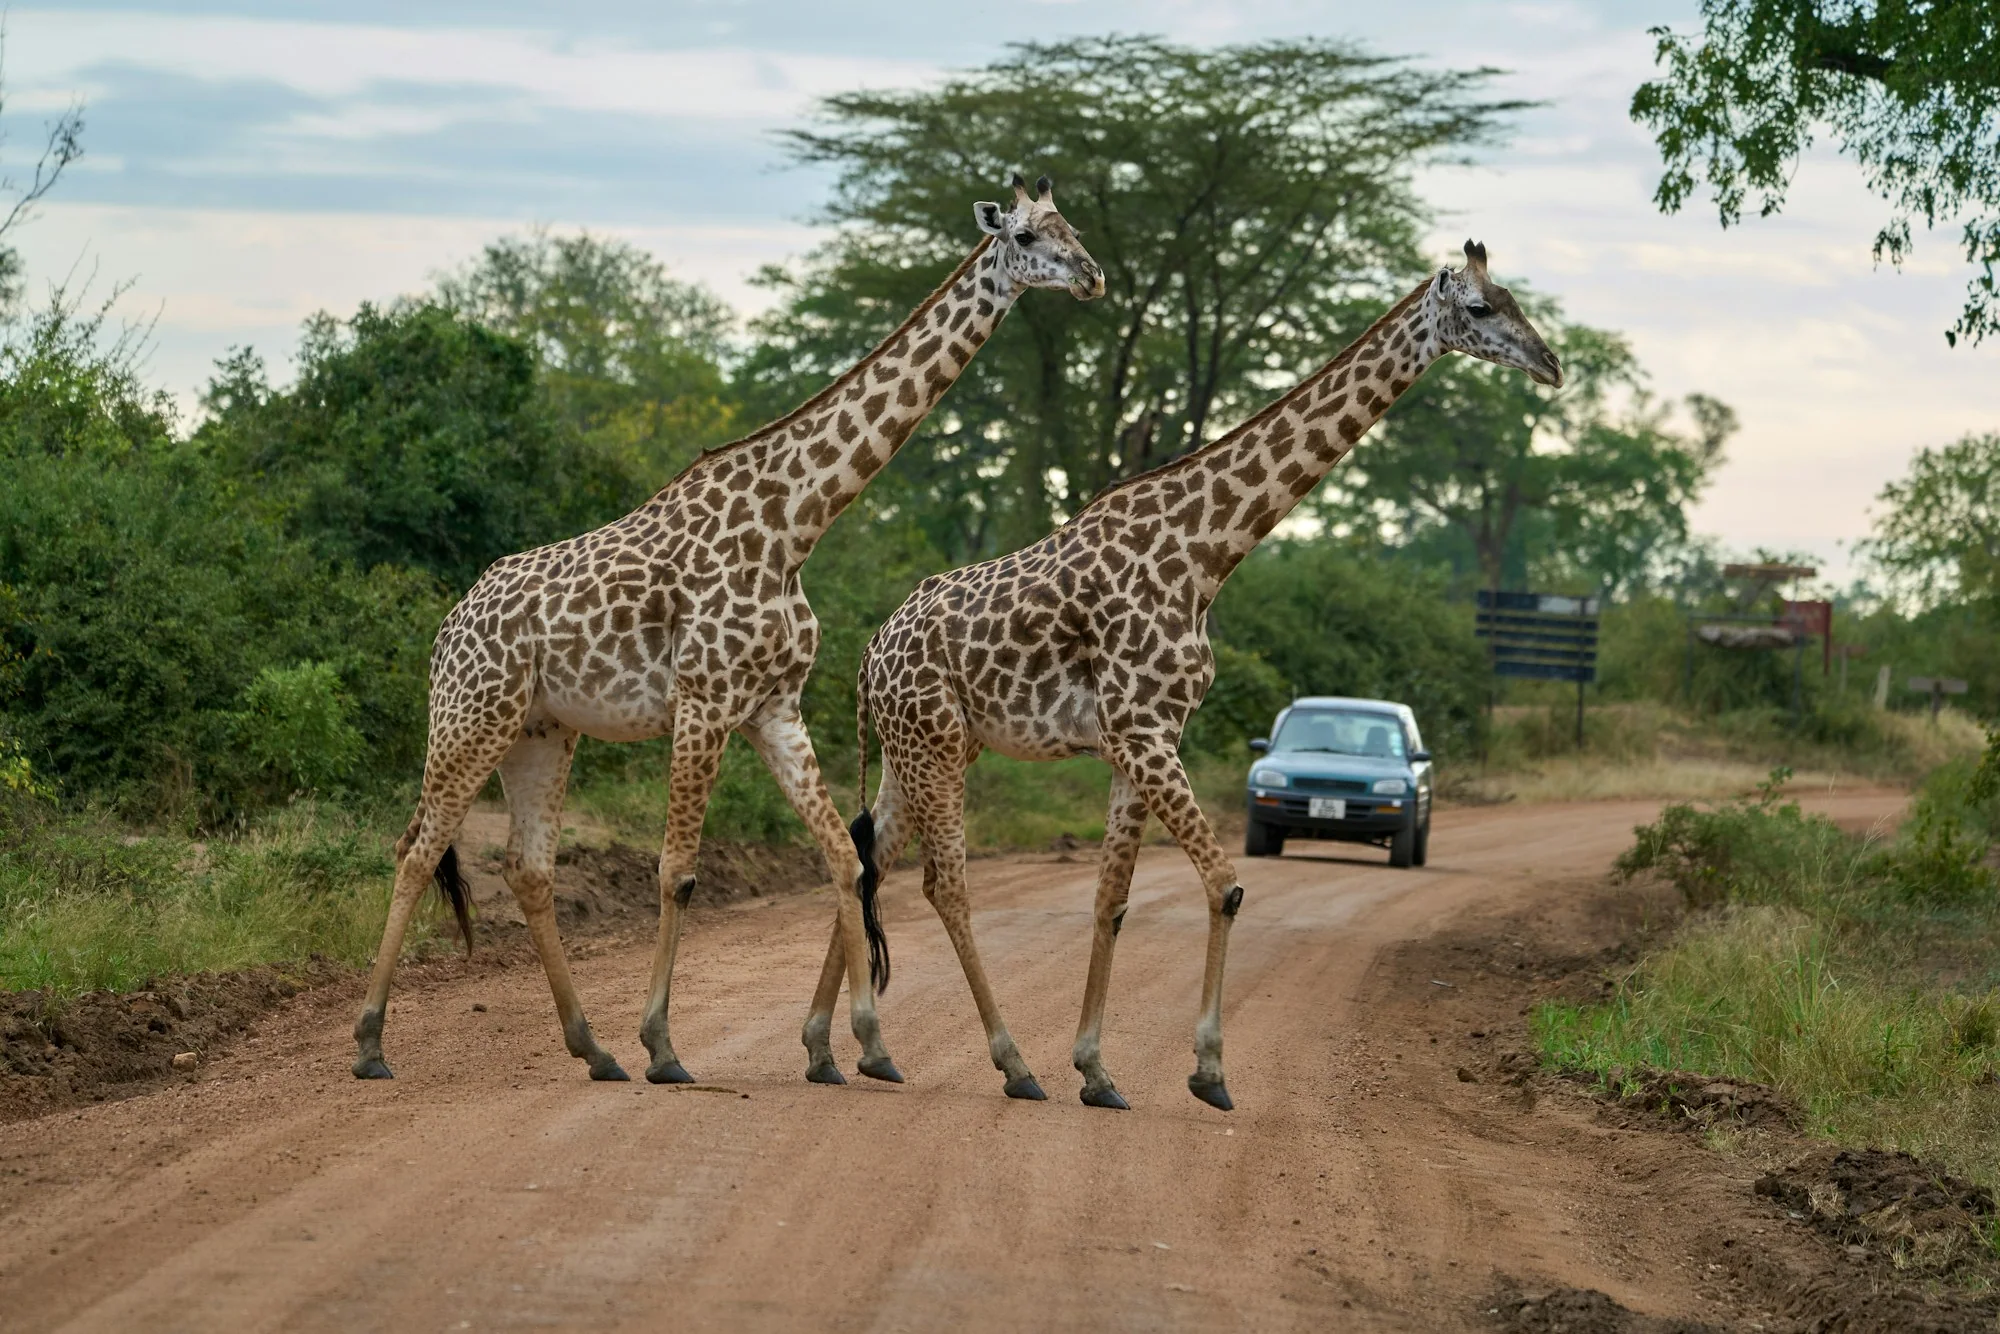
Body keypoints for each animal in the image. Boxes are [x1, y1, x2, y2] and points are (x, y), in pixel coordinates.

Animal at [352, 175, 1103, 1086]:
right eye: (1027, 236)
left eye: (1073, 226)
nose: (1093, 277)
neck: (796, 524)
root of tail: (446, 627)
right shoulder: (704, 701)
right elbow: (677, 871)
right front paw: (665, 1047)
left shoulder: (773, 706)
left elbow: (844, 858)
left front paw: (863, 1048)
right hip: (472, 716)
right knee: (415, 848)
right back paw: (371, 1044)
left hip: (541, 730)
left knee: (526, 868)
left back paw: (593, 1049)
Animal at [839, 241, 1560, 1110]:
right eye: (1483, 309)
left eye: (1515, 297)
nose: (1552, 364)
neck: (1207, 554)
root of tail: (870, 655)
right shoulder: (1145, 733)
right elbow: (1226, 884)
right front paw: (1209, 1071)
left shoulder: (1138, 739)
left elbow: (1112, 900)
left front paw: (1098, 1071)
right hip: (935, 745)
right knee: (943, 884)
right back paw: (1010, 1065)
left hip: (921, 745)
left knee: (867, 859)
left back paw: (849, 1050)